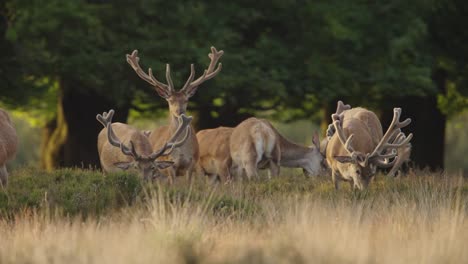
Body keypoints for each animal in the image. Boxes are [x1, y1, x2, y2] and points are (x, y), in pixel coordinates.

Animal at [126, 46, 223, 182]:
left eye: (186, 100)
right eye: (170, 100)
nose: (179, 111)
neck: (181, 151)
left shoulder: (192, 163)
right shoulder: (170, 165)